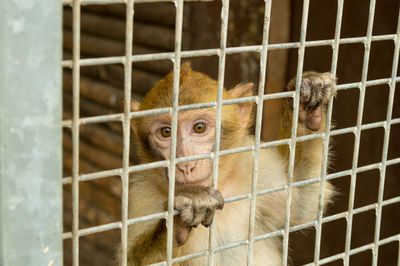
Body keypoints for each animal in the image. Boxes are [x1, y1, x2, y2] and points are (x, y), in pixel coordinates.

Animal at [121, 62, 338, 266]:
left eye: (199, 128)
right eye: (166, 132)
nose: (185, 165)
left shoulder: (254, 165)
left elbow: (300, 204)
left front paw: (306, 107)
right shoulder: (141, 194)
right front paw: (184, 212)